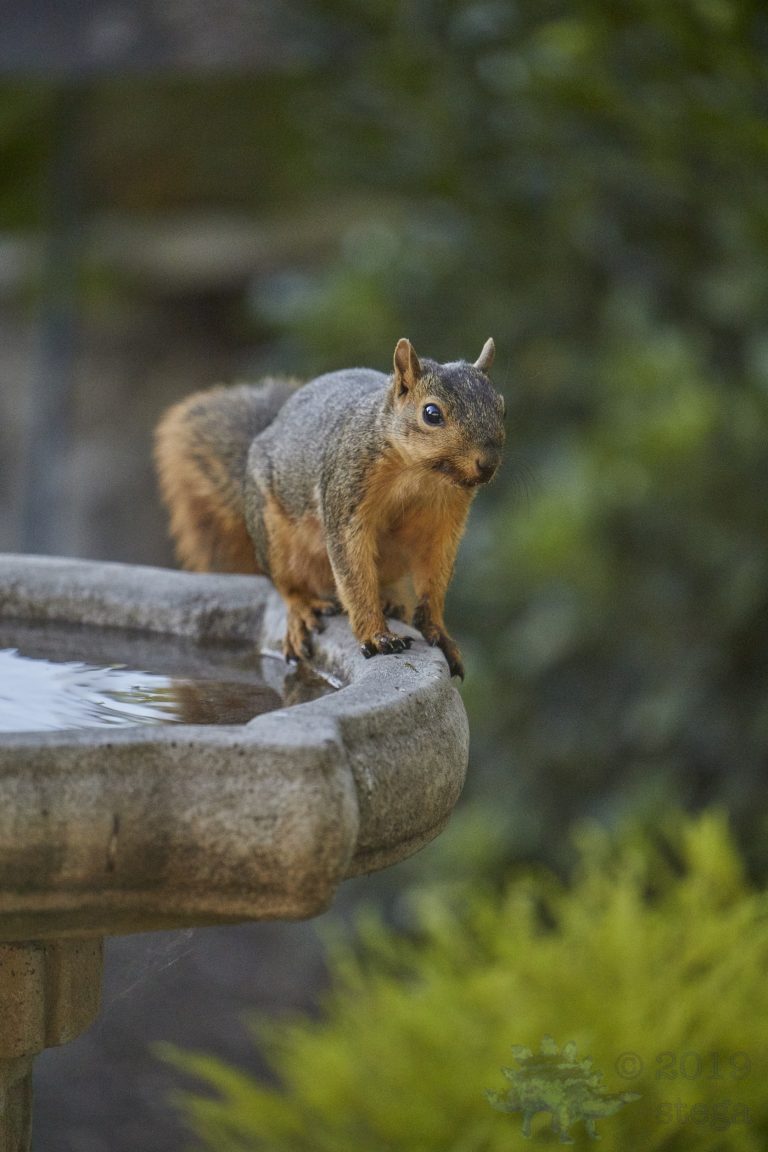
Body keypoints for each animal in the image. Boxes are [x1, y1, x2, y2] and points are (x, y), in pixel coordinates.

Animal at [154, 338, 505, 679]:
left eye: (500, 406)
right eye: (431, 413)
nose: (487, 464)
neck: (420, 473)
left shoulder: (444, 522)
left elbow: (434, 576)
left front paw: (438, 632)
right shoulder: (346, 492)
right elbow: (353, 573)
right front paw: (377, 636)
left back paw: (391, 601)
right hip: (273, 536)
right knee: (286, 584)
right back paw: (304, 608)